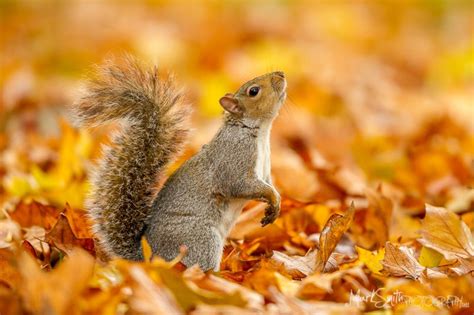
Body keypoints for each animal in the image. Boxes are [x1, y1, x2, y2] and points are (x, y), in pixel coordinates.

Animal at [70, 57, 286, 272]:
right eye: (253, 91)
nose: (281, 74)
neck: (258, 131)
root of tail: (147, 258)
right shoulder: (233, 157)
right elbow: (239, 184)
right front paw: (271, 197)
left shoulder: (264, 171)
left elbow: (267, 183)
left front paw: (276, 203)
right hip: (201, 240)